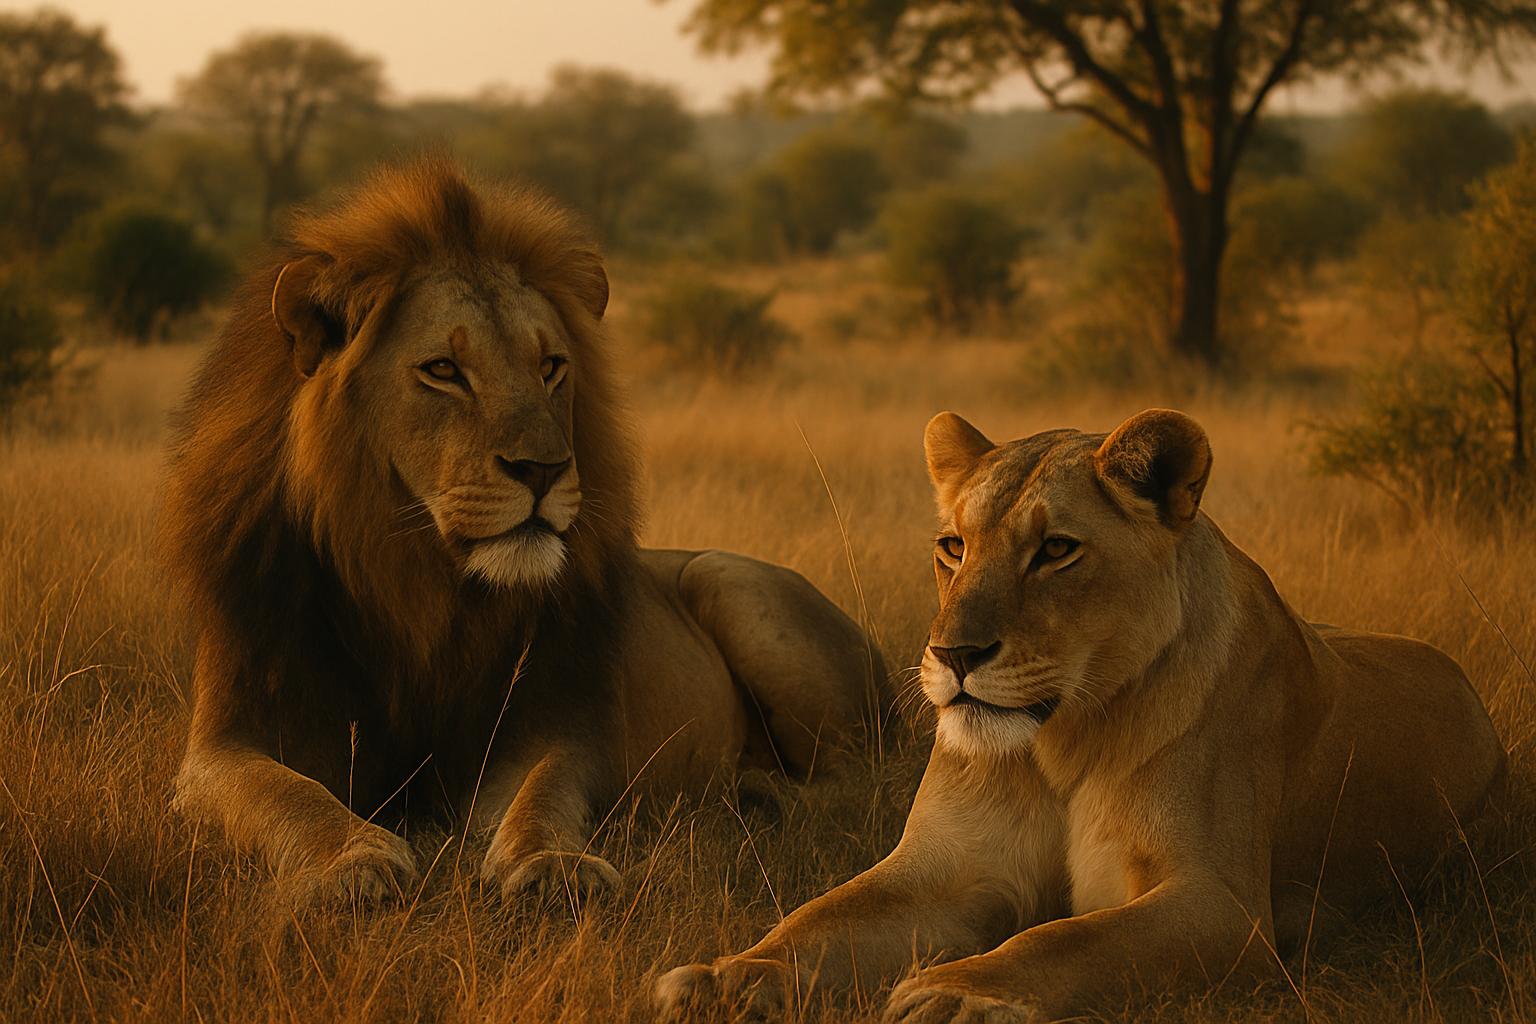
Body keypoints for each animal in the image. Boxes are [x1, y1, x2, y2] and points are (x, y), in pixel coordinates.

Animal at [161, 157, 888, 904]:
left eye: (550, 367)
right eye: (443, 370)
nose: (542, 468)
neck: (412, 584)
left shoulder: (546, 724)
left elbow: (541, 794)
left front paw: (554, 866)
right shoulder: (228, 738)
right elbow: (287, 793)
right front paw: (349, 863)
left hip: (728, 579)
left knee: (863, 785)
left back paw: (756, 793)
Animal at [656, 408, 1506, 1023]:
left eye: (1056, 550)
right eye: (953, 545)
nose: (953, 654)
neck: (1057, 742)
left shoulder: (1221, 906)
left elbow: (1068, 938)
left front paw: (959, 993)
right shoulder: (945, 871)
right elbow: (821, 917)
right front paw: (725, 978)